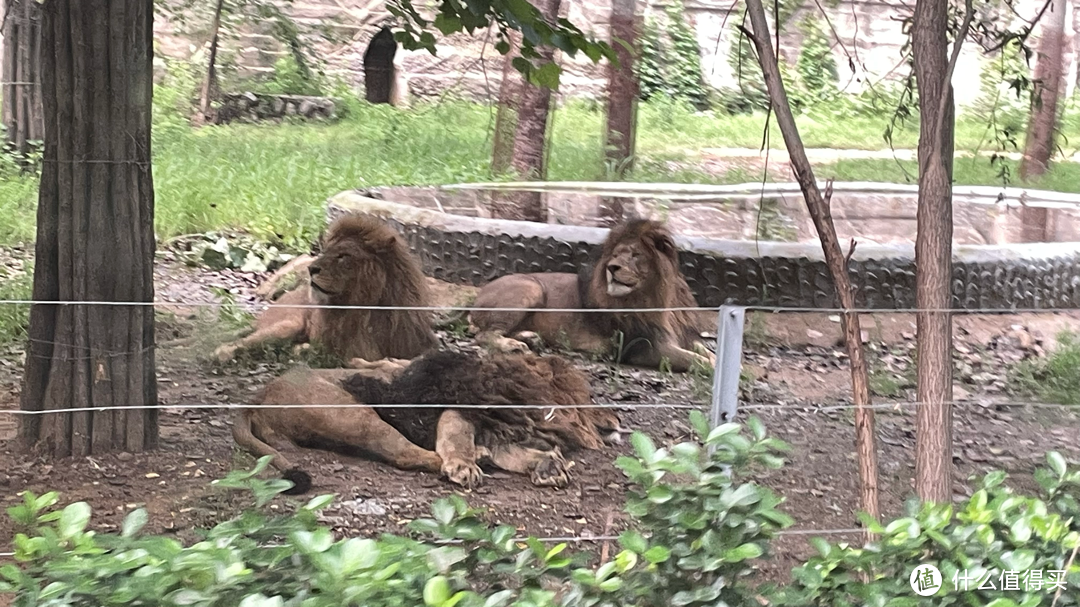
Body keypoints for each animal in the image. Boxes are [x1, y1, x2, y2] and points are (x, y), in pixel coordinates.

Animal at [212, 212, 436, 360]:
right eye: (326, 251)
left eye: (343, 256)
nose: (311, 268)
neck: (363, 310)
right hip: (287, 325)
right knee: (245, 341)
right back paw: (222, 353)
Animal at [232, 345, 622, 492]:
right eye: (591, 397)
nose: (618, 419)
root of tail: (259, 394)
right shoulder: (458, 410)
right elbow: (456, 440)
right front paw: (463, 465)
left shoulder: (502, 433)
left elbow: (518, 454)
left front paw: (547, 466)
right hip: (354, 414)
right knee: (405, 454)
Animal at [468, 217, 712, 369]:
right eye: (615, 255)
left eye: (635, 255)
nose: (611, 268)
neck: (659, 298)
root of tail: (476, 298)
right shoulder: (646, 347)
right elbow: (697, 360)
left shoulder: (682, 335)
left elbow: (706, 351)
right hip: (531, 287)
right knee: (484, 335)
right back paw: (513, 345)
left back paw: (530, 337)